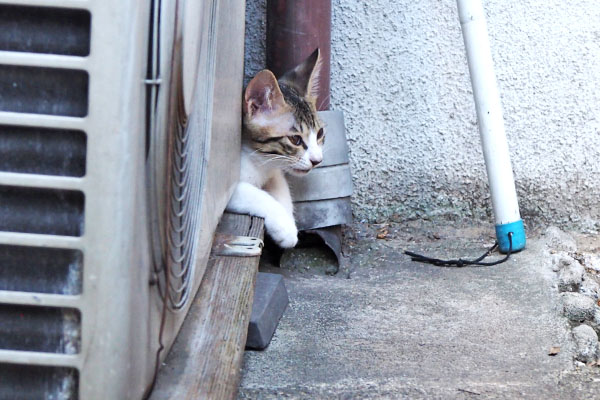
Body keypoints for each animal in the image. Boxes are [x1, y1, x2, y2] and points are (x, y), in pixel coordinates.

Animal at [227, 48, 326, 248]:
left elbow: (282, 189)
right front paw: (286, 229)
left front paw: (289, 219)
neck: (258, 161)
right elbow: (257, 195)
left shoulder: (273, 171)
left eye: (319, 133)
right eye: (295, 139)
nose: (317, 161)